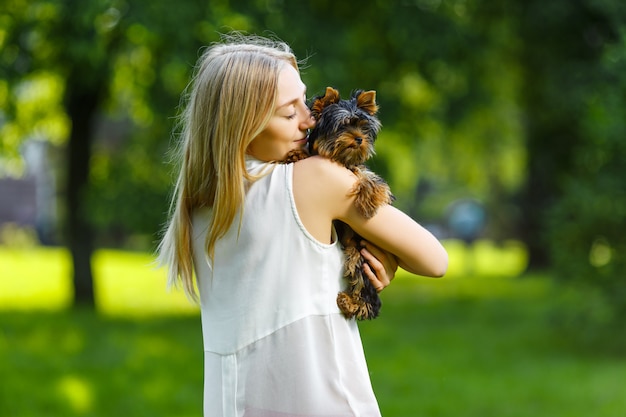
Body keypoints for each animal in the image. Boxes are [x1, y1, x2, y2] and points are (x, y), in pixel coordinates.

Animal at [282, 87, 390, 318]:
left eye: (363, 127)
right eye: (343, 125)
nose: (359, 139)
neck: (339, 157)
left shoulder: (356, 166)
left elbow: (365, 174)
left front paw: (369, 199)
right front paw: (297, 153)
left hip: (359, 255)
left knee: (362, 285)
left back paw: (351, 302)